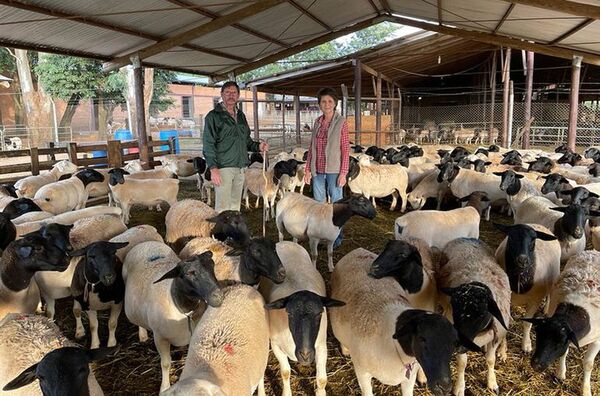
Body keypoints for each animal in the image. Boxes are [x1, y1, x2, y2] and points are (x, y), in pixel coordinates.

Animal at [123, 241, 224, 392]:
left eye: (212, 266)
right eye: (189, 273)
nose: (218, 297)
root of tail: (146, 243)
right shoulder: (160, 338)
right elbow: (165, 363)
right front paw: (164, 387)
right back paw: (142, 334)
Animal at [262, 241, 344, 396]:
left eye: (319, 313)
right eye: (289, 313)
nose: (305, 355)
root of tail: (286, 242)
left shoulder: (321, 346)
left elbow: (322, 380)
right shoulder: (275, 346)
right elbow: (285, 372)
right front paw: (286, 393)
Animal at [330, 248, 462, 396]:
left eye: (454, 344)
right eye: (422, 339)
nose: (444, 387)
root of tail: (357, 250)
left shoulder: (409, 378)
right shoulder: (362, 372)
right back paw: (345, 350)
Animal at [492, 223, 564, 352]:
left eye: (533, 240)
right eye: (511, 237)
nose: (522, 260)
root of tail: (538, 225)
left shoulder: (535, 300)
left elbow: (527, 324)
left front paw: (526, 345)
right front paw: (502, 350)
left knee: (549, 294)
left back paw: (546, 309)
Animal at [528, 251, 600, 396]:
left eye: (559, 342)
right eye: (538, 335)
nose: (536, 364)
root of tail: (593, 251)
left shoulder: (597, 340)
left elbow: (588, 364)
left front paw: (585, 390)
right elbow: (564, 354)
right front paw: (560, 374)